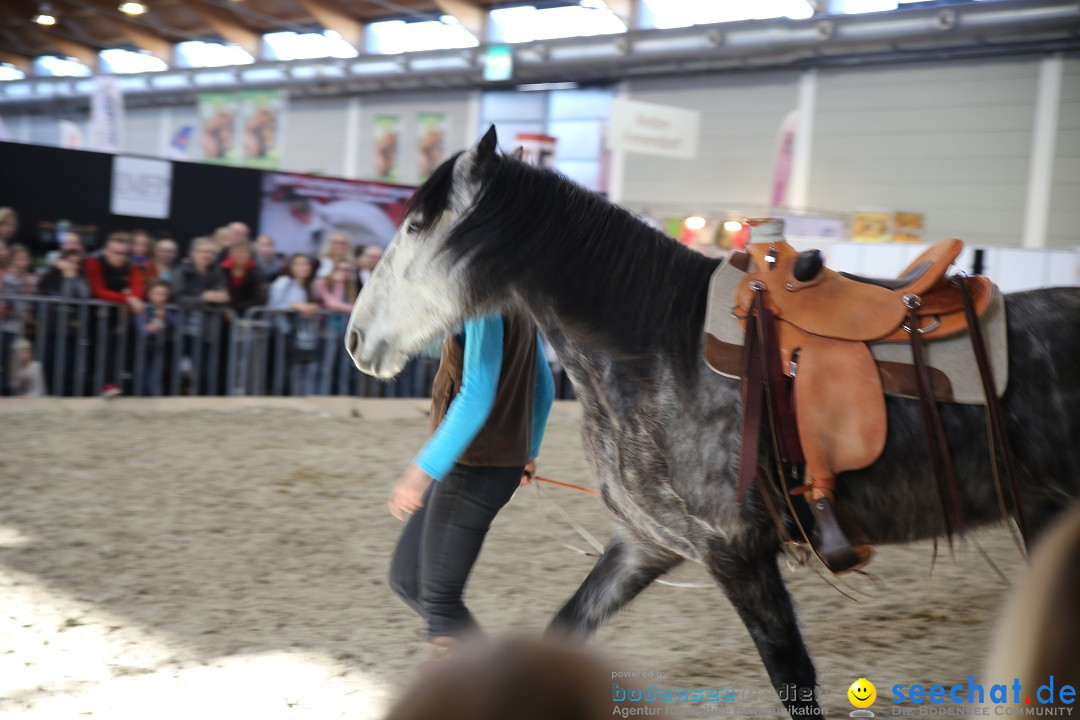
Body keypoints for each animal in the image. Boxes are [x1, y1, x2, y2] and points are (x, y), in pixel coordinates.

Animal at [345, 127, 1080, 716]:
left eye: (418, 226)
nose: (354, 339)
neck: (659, 352)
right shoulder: (649, 544)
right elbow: (567, 629)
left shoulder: (738, 553)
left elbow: (792, 678)